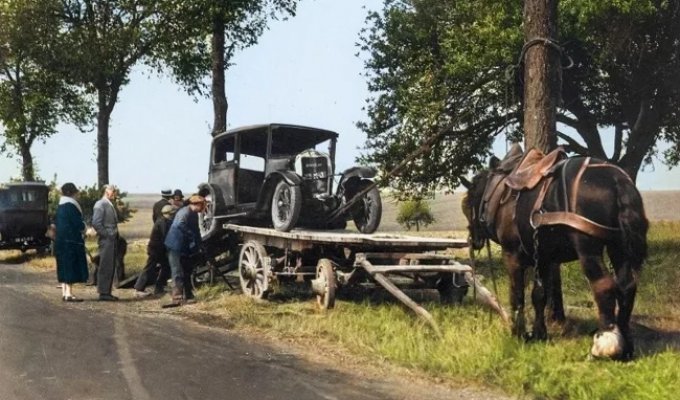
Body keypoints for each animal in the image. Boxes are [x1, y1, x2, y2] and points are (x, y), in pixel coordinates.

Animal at [462, 146, 648, 360]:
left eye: (468, 205)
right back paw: (627, 345)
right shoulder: (542, 258)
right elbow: (539, 295)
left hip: (588, 248)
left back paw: (605, 345)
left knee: (603, 285)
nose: (473, 240)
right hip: (618, 245)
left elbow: (517, 295)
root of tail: (618, 180)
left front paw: (518, 333)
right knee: (627, 285)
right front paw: (539, 333)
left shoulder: (511, 255)